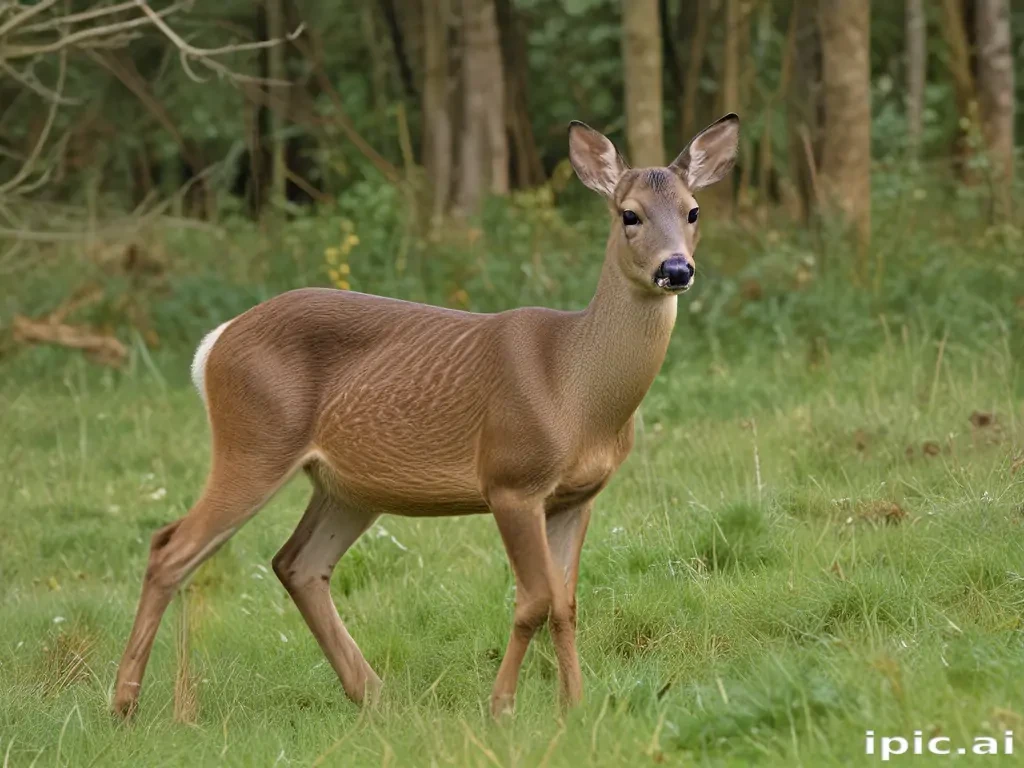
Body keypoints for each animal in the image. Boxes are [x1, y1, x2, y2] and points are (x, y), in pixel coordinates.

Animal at [112, 113, 740, 720]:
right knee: (171, 548)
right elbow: (533, 600)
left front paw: (576, 707)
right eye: (629, 214)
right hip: (254, 441)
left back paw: (375, 696)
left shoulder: (576, 497)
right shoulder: (510, 479)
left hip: (346, 486)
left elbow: (566, 604)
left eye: (693, 210)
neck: (574, 387)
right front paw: (502, 707)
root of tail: (212, 346)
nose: (676, 269)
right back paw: (124, 703)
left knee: (296, 563)